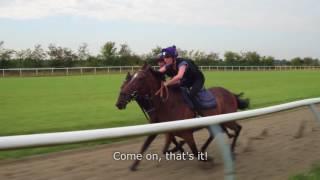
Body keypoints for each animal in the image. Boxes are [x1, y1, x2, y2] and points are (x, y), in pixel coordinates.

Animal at [116, 63, 249, 170]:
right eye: (122, 86)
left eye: (140, 78)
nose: (118, 103)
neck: (167, 104)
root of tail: (231, 93)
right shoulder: (164, 130)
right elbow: (155, 147)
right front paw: (133, 165)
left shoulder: (187, 133)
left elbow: (194, 152)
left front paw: (206, 158)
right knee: (217, 133)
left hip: (227, 119)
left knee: (237, 129)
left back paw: (231, 151)